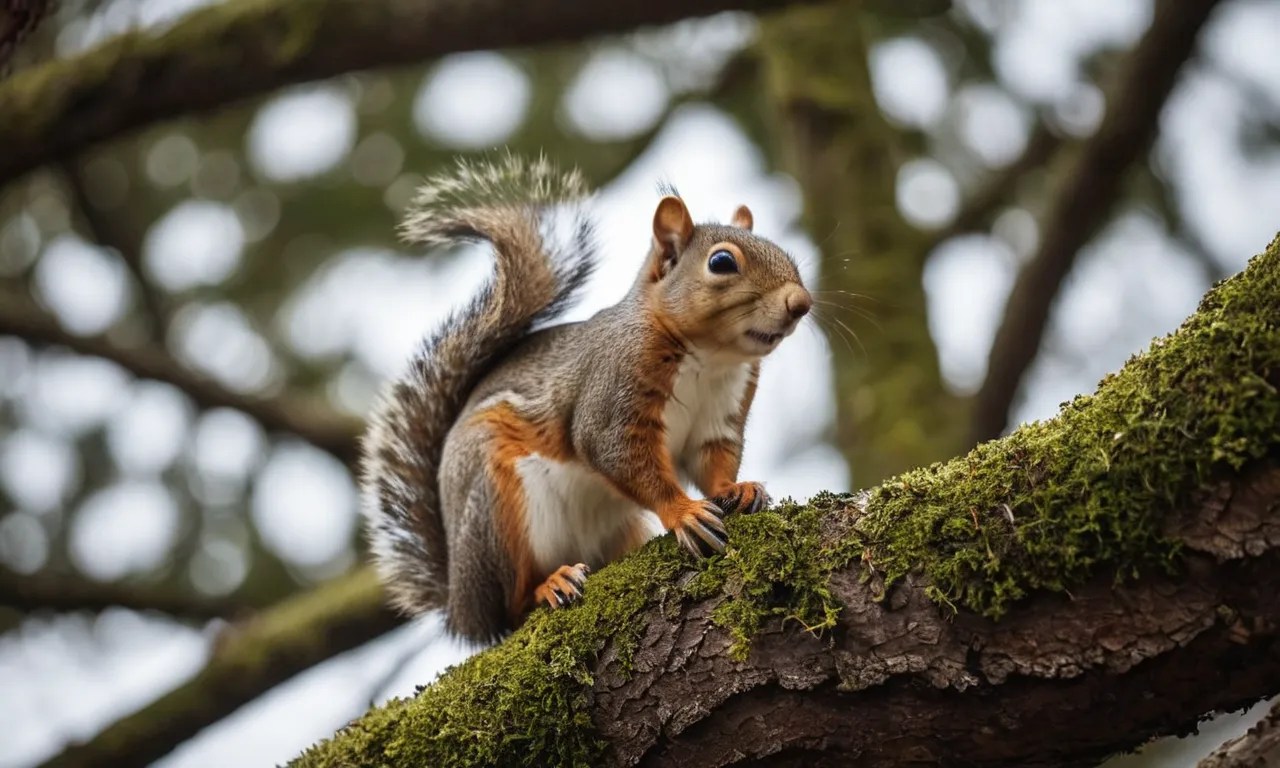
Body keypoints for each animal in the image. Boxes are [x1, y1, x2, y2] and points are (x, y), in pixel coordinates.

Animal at [359, 155, 812, 642]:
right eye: (722, 262)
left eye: (785, 254)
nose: (801, 303)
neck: (709, 359)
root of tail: (460, 607)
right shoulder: (613, 392)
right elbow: (617, 453)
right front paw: (684, 513)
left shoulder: (718, 419)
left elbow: (713, 461)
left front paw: (736, 489)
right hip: (496, 507)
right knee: (511, 608)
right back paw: (548, 586)